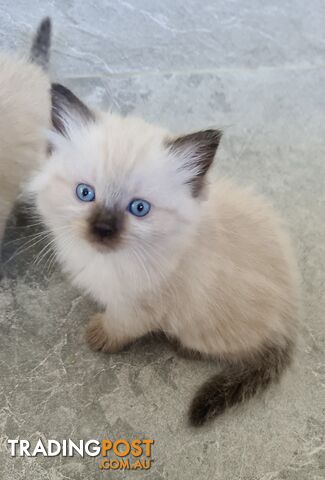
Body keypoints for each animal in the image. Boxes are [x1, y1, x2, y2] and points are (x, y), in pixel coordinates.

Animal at [29, 84, 298, 426]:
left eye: (139, 208)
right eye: (85, 193)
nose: (102, 229)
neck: (111, 260)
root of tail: (289, 320)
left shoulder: (138, 308)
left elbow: (118, 325)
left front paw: (100, 336)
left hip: (202, 327)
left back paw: (183, 348)